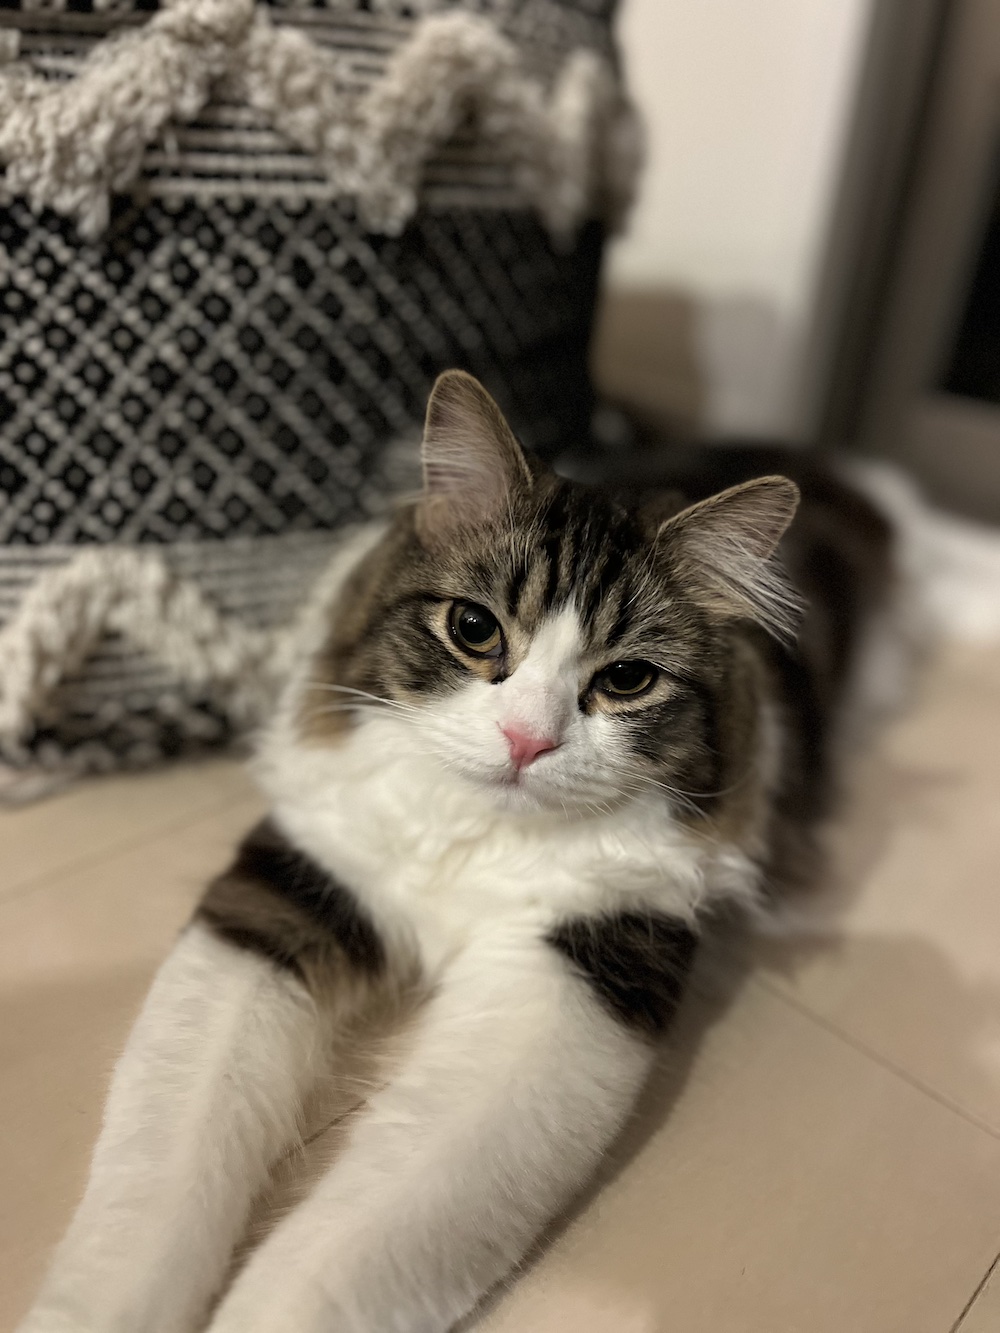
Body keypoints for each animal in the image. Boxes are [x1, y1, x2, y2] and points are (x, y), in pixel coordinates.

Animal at [17, 370, 893, 1333]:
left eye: (627, 679)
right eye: (475, 628)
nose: (526, 740)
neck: (477, 837)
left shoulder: (572, 979)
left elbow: (338, 1255)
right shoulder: (288, 892)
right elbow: (159, 1173)